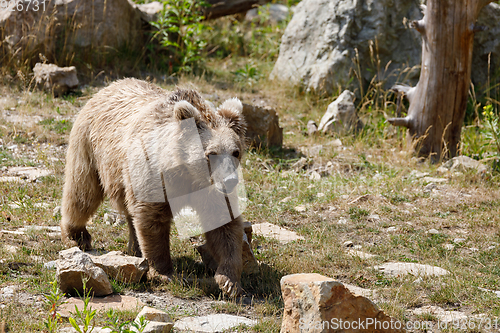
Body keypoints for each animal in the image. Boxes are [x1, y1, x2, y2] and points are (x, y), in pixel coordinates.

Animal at [61, 78, 247, 296]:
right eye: (211, 153)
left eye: (235, 152)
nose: (230, 180)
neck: (187, 173)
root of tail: (109, 86)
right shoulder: (155, 176)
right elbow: (153, 221)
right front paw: (163, 272)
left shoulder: (211, 191)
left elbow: (224, 225)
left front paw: (230, 281)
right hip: (91, 148)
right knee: (82, 191)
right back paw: (77, 235)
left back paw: (134, 247)